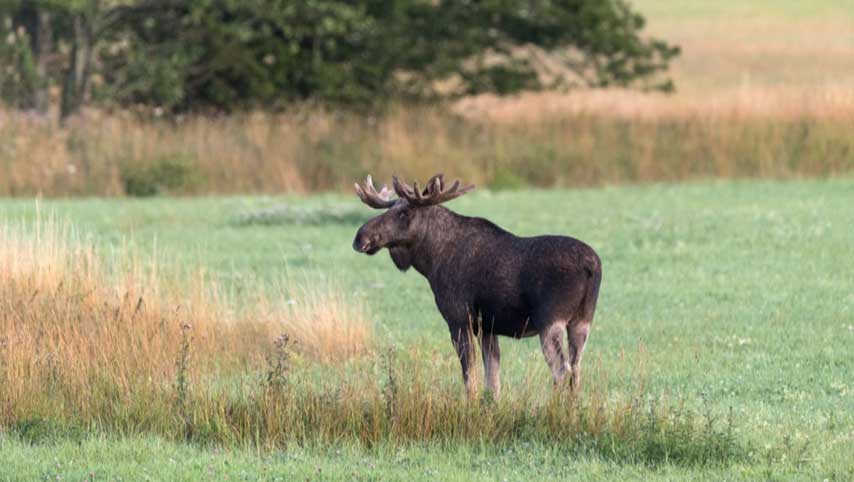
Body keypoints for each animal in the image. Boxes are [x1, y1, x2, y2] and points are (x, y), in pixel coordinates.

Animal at [352, 173, 600, 396]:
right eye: (387, 210)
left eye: (405, 212)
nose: (360, 238)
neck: (431, 261)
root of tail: (592, 266)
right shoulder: (488, 327)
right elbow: (493, 382)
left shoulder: (458, 318)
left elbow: (470, 377)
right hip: (581, 322)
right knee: (576, 369)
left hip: (550, 321)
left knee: (562, 370)